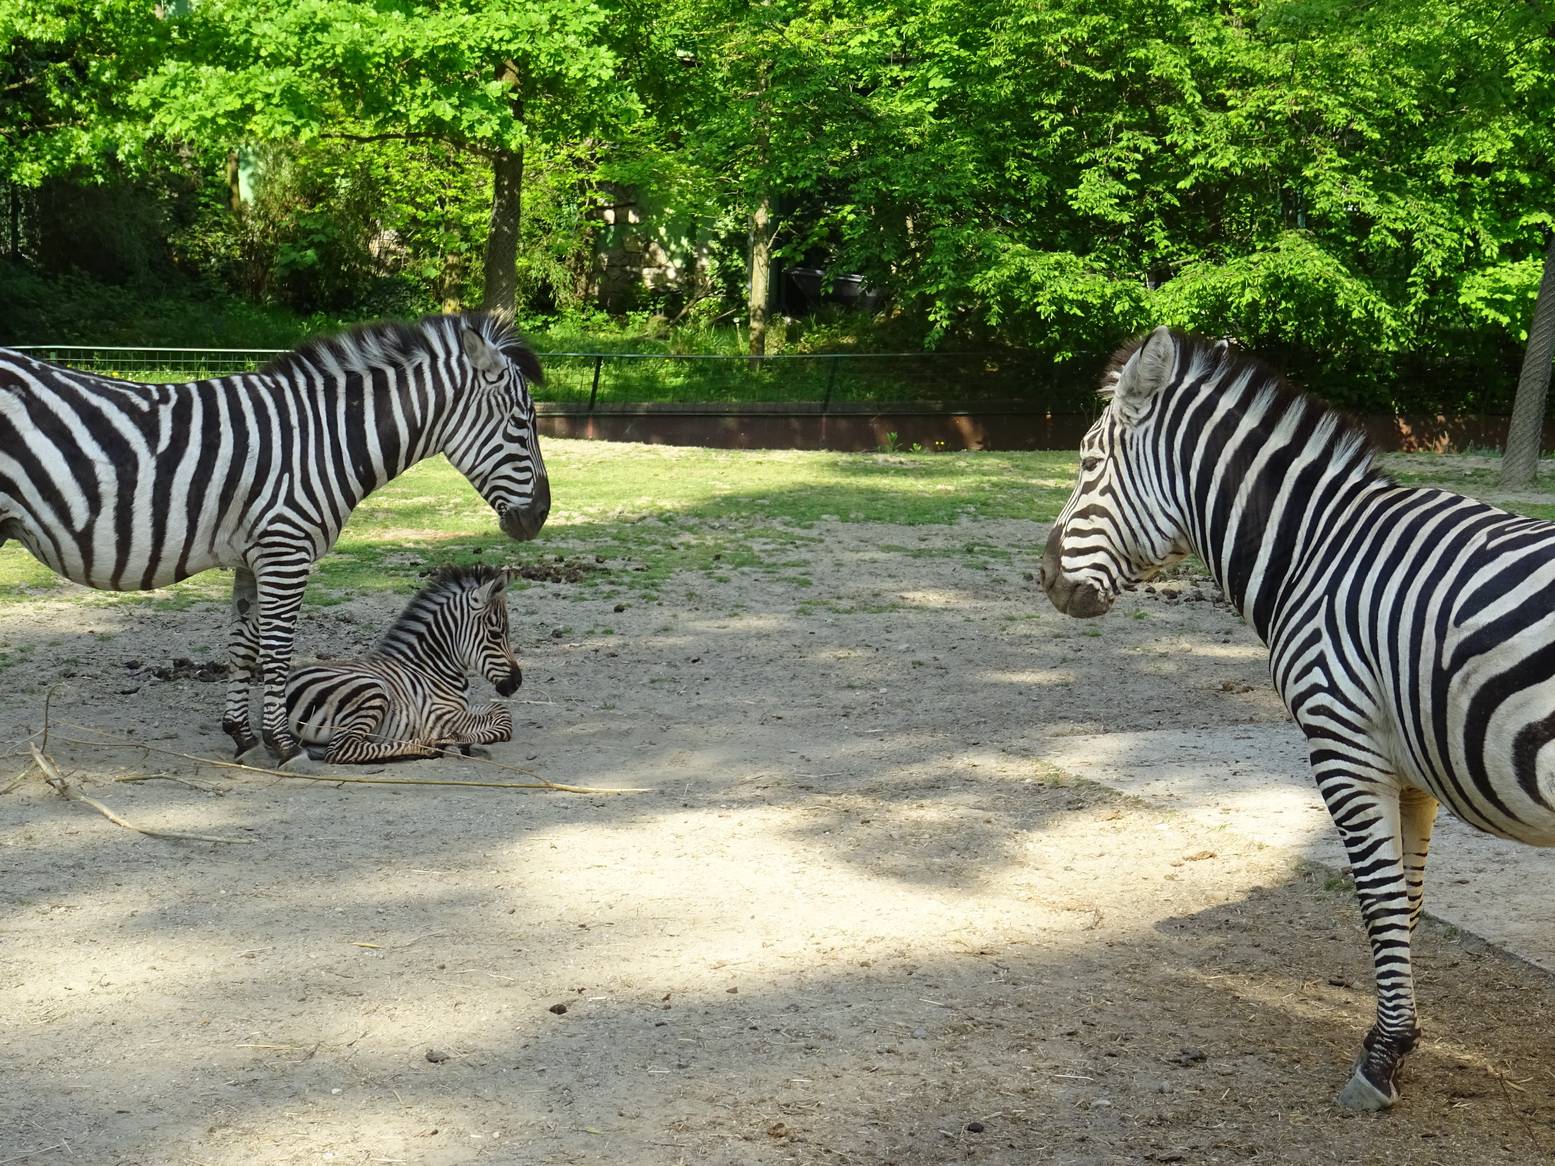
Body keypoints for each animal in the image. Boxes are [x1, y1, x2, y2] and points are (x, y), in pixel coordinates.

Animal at [292, 565, 528, 768]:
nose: (517, 682)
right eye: (496, 634)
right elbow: (503, 721)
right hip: (372, 690)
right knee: (342, 749)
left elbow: (501, 712)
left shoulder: (459, 707)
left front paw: (464, 737)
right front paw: (460, 737)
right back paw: (432, 745)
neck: (431, 667)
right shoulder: (439, 714)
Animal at [1038, 326, 1555, 1113]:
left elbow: (1377, 901)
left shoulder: (1342, 746)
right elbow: (1406, 901)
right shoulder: (1411, 770)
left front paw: (1379, 1059)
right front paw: (1401, 1041)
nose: (1042, 577)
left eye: (1088, 463)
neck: (1314, 548)